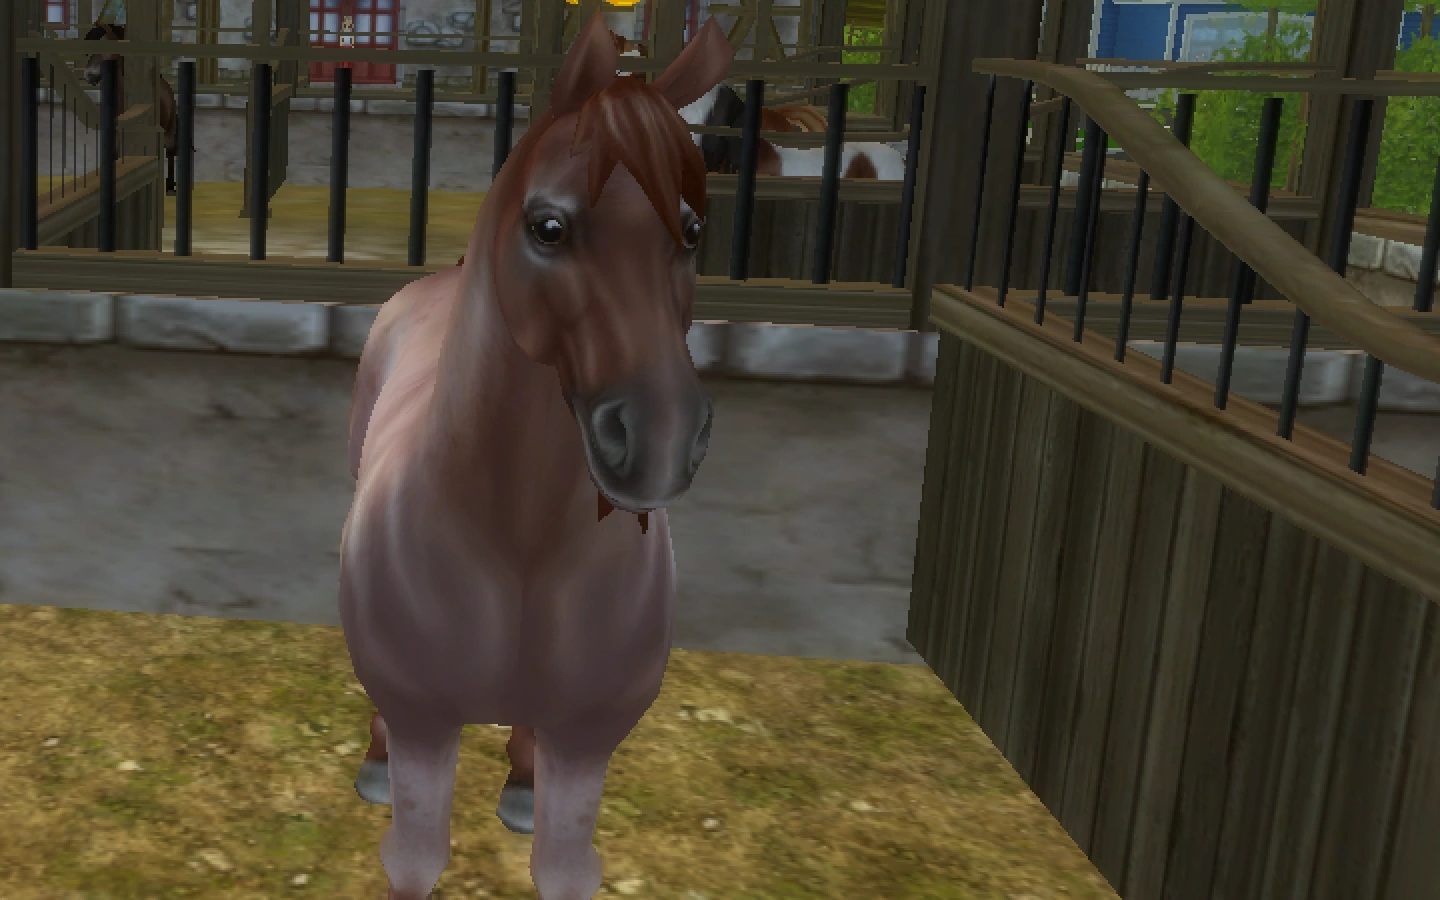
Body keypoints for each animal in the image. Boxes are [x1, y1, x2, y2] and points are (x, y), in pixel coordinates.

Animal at [339, 10, 729, 899]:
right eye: (548, 227)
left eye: (692, 231)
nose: (659, 438)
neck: (518, 549)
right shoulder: (424, 722)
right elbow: (413, 860)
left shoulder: (590, 740)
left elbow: (566, 867)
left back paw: (518, 777)